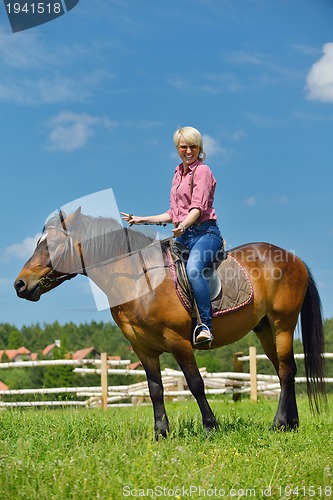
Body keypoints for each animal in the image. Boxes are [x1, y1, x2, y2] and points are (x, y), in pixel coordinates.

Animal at [14, 207, 324, 438]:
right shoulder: (143, 349)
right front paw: (161, 432)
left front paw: (210, 427)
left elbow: (195, 383)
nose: (20, 285)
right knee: (286, 370)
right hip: (264, 328)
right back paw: (290, 424)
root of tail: (294, 259)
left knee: (286, 371)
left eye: (52, 245)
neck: (139, 280)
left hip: (282, 323)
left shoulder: (179, 341)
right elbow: (155, 389)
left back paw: (279, 423)